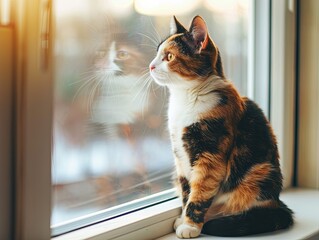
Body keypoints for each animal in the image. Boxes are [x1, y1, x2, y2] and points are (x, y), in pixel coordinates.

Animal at [150, 15, 296, 239]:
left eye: (169, 56)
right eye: (157, 53)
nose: (150, 66)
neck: (186, 98)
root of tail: (278, 203)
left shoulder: (210, 154)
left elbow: (198, 193)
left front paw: (190, 226)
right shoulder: (180, 157)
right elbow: (186, 192)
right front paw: (183, 219)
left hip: (259, 174)